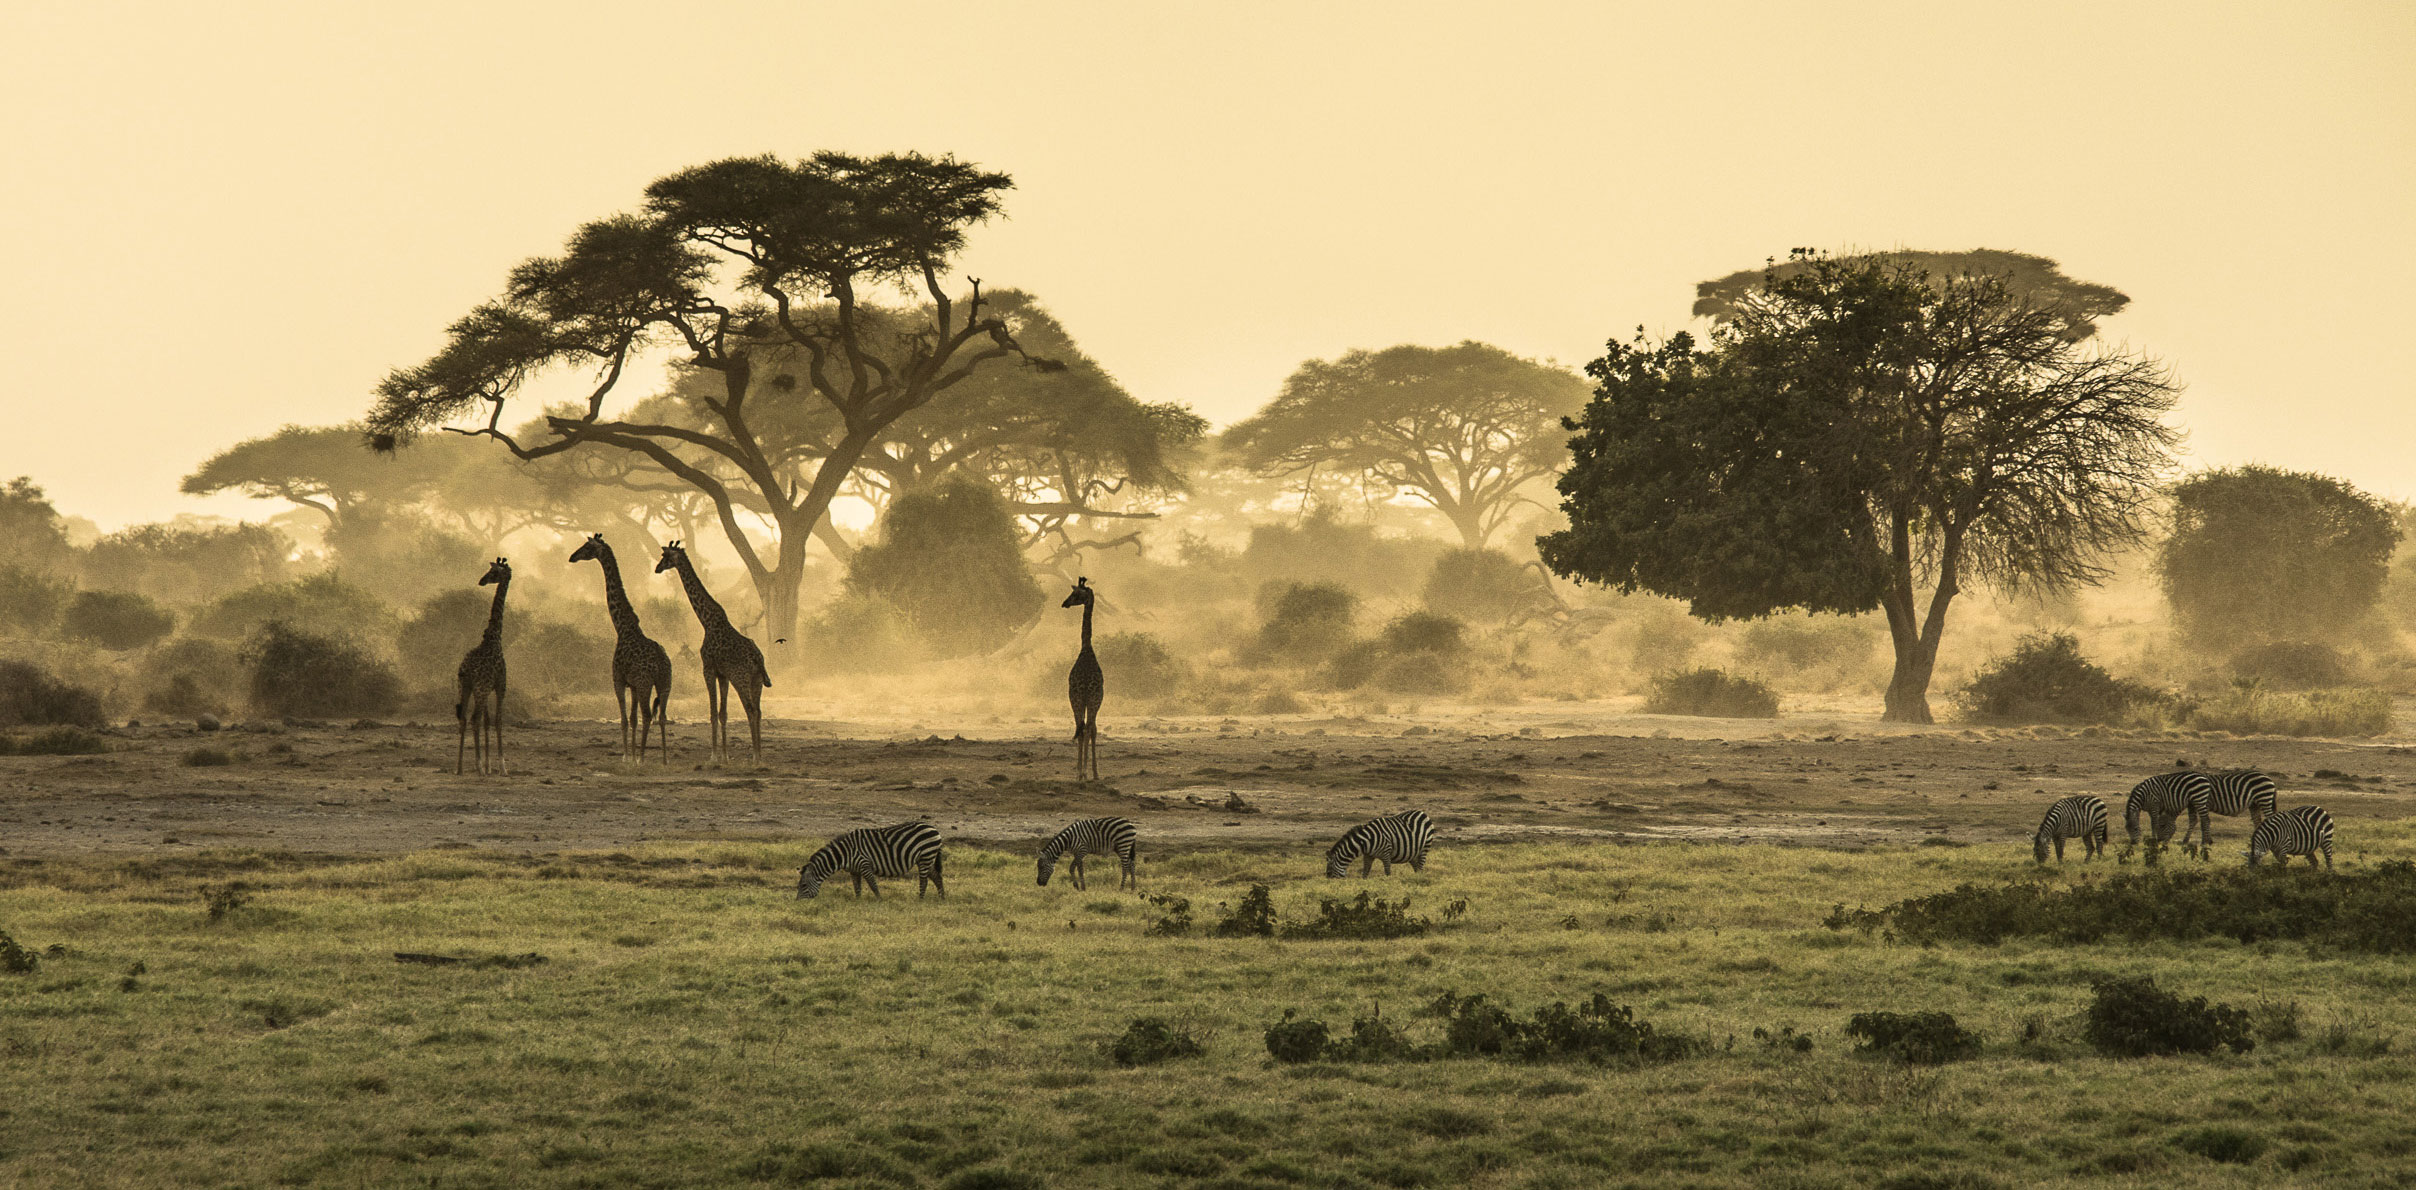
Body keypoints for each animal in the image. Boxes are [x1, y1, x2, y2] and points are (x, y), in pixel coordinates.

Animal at [456, 557, 511, 776]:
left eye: (493, 572)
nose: (482, 581)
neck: (494, 637)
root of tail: (466, 670)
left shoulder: (488, 688)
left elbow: (488, 721)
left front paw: (489, 766)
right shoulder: (500, 685)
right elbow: (498, 720)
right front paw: (501, 767)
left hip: (465, 686)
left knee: (463, 719)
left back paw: (459, 767)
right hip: (479, 688)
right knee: (474, 719)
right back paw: (477, 767)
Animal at [569, 534, 673, 763]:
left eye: (587, 546)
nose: (572, 556)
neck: (623, 628)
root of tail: (661, 663)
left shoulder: (618, 680)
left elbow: (625, 719)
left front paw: (627, 757)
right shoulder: (632, 685)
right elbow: (632, 719)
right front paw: (631, 756)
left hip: (646, 684)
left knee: (647, 715)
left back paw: (643, 758)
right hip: (665, 683)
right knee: (661, 716)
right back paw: (663, 759)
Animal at [654, 541, 770, 763]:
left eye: (666, 556)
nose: (657, 568)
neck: (706, 621)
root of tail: (758, 659)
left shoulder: (707, 668)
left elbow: (713, 712)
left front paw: (714, 756)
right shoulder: (722, 674)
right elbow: (723, 713)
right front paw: (725, 756)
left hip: (740, 678)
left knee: (751, 710)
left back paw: (755, 756)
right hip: (757, 680)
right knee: (759, 711)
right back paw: (758, 754)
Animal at [796, 822, 946, 899]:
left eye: (803, 885)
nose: (797, 902)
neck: (845, 854)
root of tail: (932, 827)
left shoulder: (864, 865)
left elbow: (873, 885)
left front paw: (879, 901)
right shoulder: (854, 870)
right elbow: (857, 888)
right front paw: (858, 902)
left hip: (925, 856)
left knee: (924, 881)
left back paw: (920, 899)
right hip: (926, 858)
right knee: (937, 877)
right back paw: (941, 898)